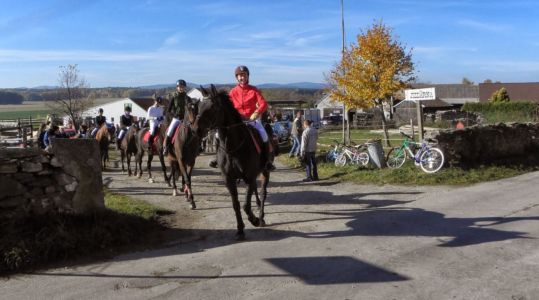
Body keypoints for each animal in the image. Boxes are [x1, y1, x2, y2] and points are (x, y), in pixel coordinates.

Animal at [192, 84, 272, 239]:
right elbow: (236, 204)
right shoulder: (229, 179)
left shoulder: (249, 177)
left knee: (262, 192)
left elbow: (245, 205)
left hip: (265, 172)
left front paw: (254, 220)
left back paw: (261, 217)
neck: (233, 147)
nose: (195, 130)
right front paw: (240, 229)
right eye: (199, 106)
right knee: (255, 191)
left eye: (213, 107)